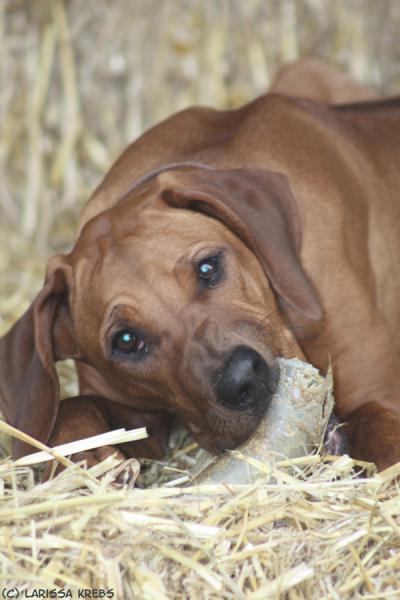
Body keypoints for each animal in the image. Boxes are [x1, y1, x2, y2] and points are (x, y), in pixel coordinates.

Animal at [0, 62, 400, 474]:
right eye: (126, 340)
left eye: (208, 267)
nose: (242, 380)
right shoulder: (131, 412)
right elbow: (73, 405)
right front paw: (85, 454)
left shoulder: (378, 396)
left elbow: (381, 445)